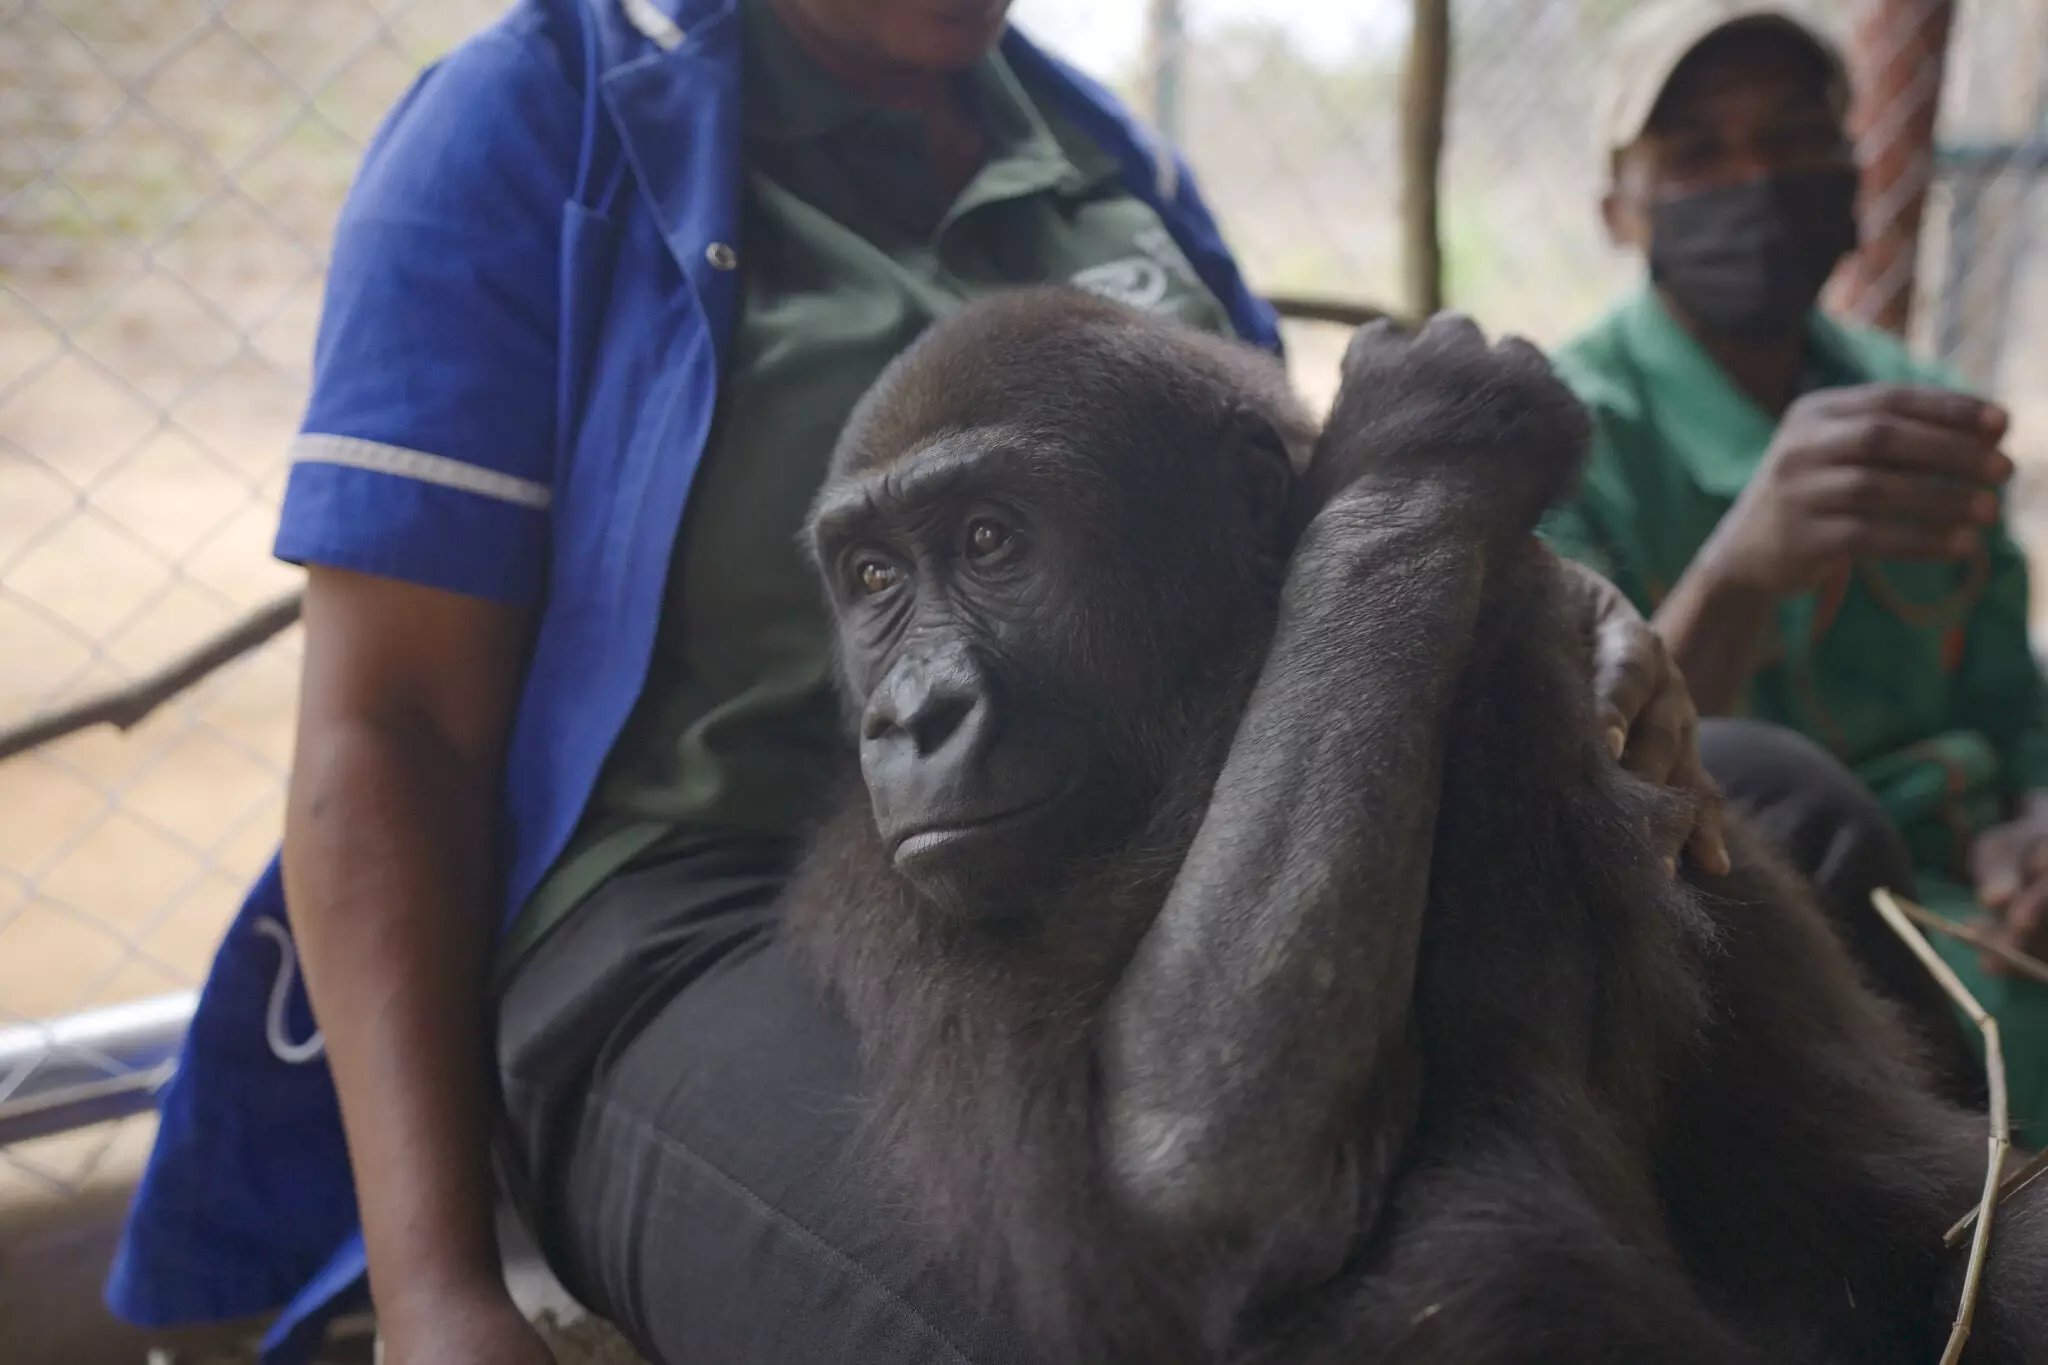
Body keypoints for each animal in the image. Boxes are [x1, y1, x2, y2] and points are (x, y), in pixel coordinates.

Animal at [783, 287, 2048, 1364]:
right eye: (872, 577)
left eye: (989, 542)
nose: (910, 718)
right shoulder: (896, 891)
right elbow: (1191, 1155)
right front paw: (1420, 453)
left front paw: (1416, 459)